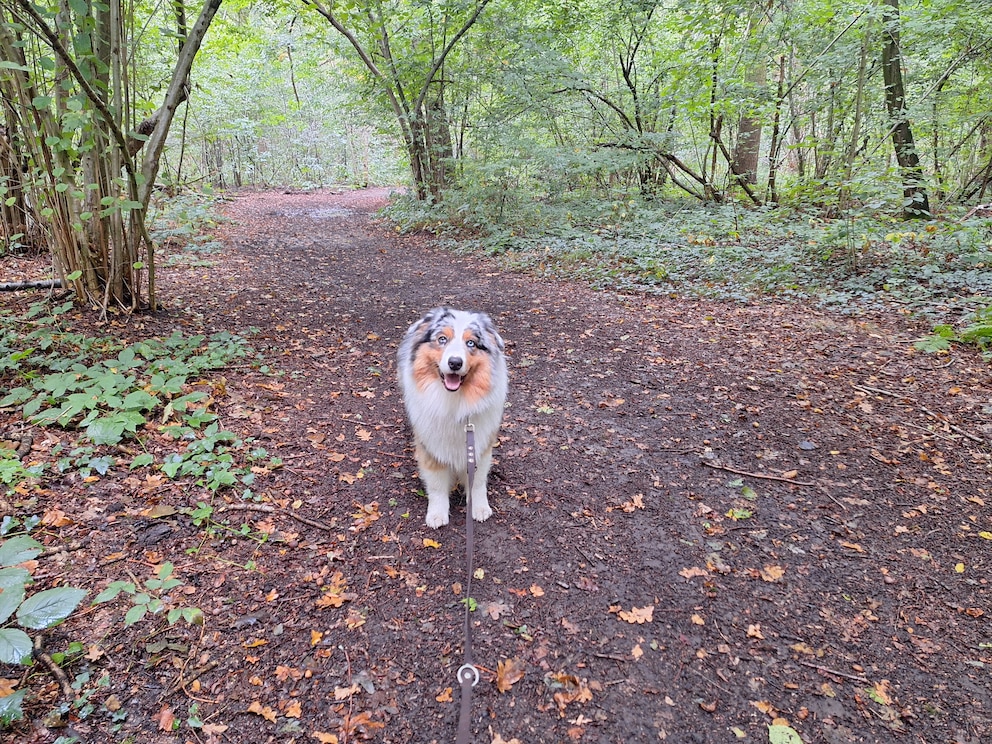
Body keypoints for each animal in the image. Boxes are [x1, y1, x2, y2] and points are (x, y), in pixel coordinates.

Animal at [398, 308, 508, 528]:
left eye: (471, 343)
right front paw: (437, 514)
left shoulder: (480, 445)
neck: (455, 402)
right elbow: (437, 485)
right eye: (442, 339)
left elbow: (478, 482)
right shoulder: (431, 446)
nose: (455, 363)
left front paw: (479, 507)